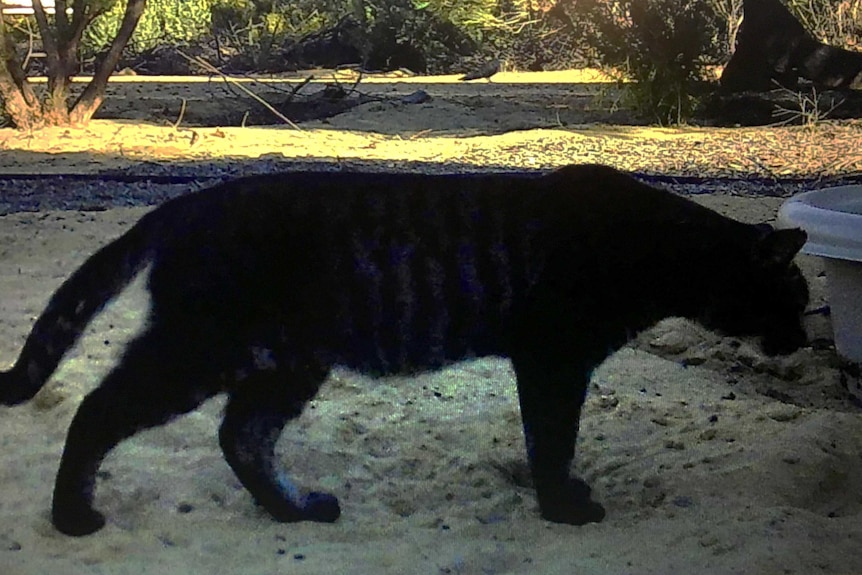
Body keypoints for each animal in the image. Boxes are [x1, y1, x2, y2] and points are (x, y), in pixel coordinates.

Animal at [0, 164, 808, 536]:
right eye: (796, 298)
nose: (803, 340)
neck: (667, 253)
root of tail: (184, 203)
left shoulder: (551, 362)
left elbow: (550, 438)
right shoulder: (553, 359)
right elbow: (552, 439)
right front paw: (561, 507)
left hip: (286, 361)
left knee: (241, 437)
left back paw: (298, 510)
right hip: (202, 347)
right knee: (100, 410)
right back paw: (73, 516)